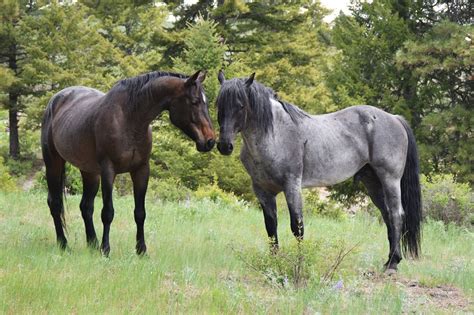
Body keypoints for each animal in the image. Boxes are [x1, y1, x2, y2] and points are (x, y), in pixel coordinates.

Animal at [40, 70, 215, 256]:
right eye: (195, 101)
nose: (210, 141)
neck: (130, 119)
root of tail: (55, 99)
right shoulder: (108, 171)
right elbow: (107, 212)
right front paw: (106, 249)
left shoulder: (141, 170)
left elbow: (140, 213)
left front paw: (141, 250)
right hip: (53, 163)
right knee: (55, 203)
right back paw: (63, 244)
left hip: (90, 172)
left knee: (86, 206)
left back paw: (93, 244)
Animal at [217, 71, 420, 272]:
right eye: (218, 104)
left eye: (241, 105)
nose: (224, 146)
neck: (275, 135)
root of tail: (395, 118)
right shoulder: (262, 191)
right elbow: (270, 227)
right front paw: (274, 263)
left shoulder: (292, 186)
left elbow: (297, 226)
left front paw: (300, 263)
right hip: (372, 182)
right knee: (387, 215)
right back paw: (389, 260)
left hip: (390, 179)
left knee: (396, 215)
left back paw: (393, 263)